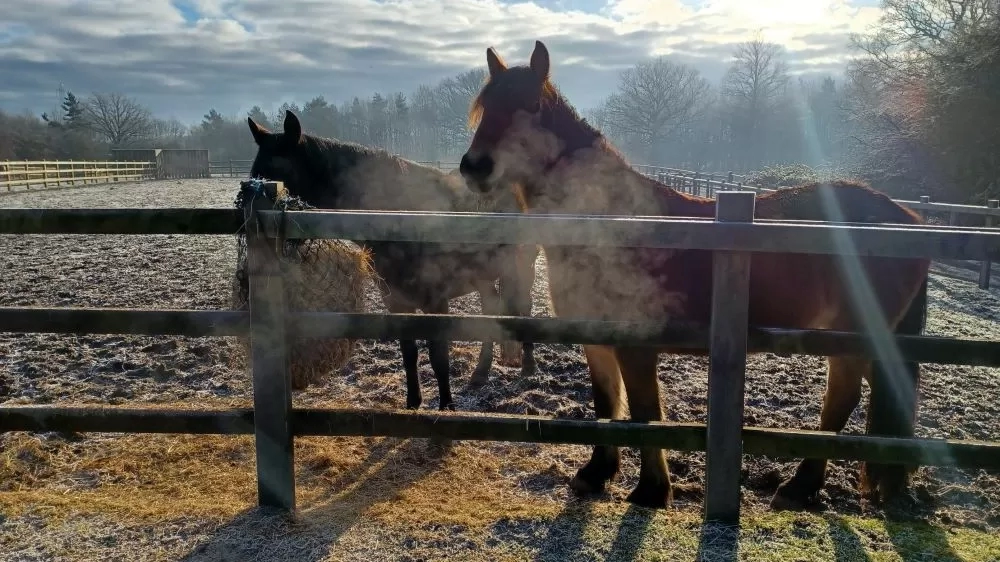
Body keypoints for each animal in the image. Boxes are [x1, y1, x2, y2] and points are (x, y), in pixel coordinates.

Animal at [247, 109, 540, 410]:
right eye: (253, 173)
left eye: (280, 174)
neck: (402, 218)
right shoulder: (395, 300)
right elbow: (408, 352)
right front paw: (413, 402)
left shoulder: (436, 302)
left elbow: (439, 357)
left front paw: (446, 406)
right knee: (490, 310)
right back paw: (480, 373)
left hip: (522, 266)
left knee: (525, 308)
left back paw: (528, 365)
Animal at [458, 41, 932, 510]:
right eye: (486, 107)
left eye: (532, 105)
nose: (475, 167)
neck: (608, 220)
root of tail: (908, 220)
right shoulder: (594, 338)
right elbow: (606, 403)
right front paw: (596, 474)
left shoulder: (636, 345)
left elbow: (645, 414)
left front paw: (651, 491)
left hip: (850, 338)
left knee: (842, 400)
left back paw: (800, 487)